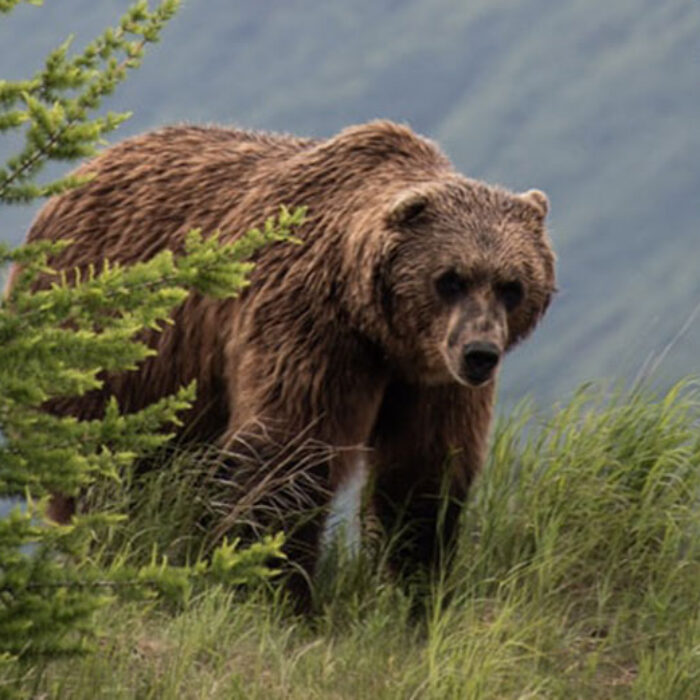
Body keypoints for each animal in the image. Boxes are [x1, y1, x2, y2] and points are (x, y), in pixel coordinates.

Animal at [8, 120, 556, 581]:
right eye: (450, 279)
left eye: (512, 285)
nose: (480, 353)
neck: (378, 328)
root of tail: (82, 171)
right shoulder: (309, 327)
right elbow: (288, 451)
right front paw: (278, 586)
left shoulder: (430, 378)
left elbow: (423, 472)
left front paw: (412, 584)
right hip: (109, 349)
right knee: (104, 465)